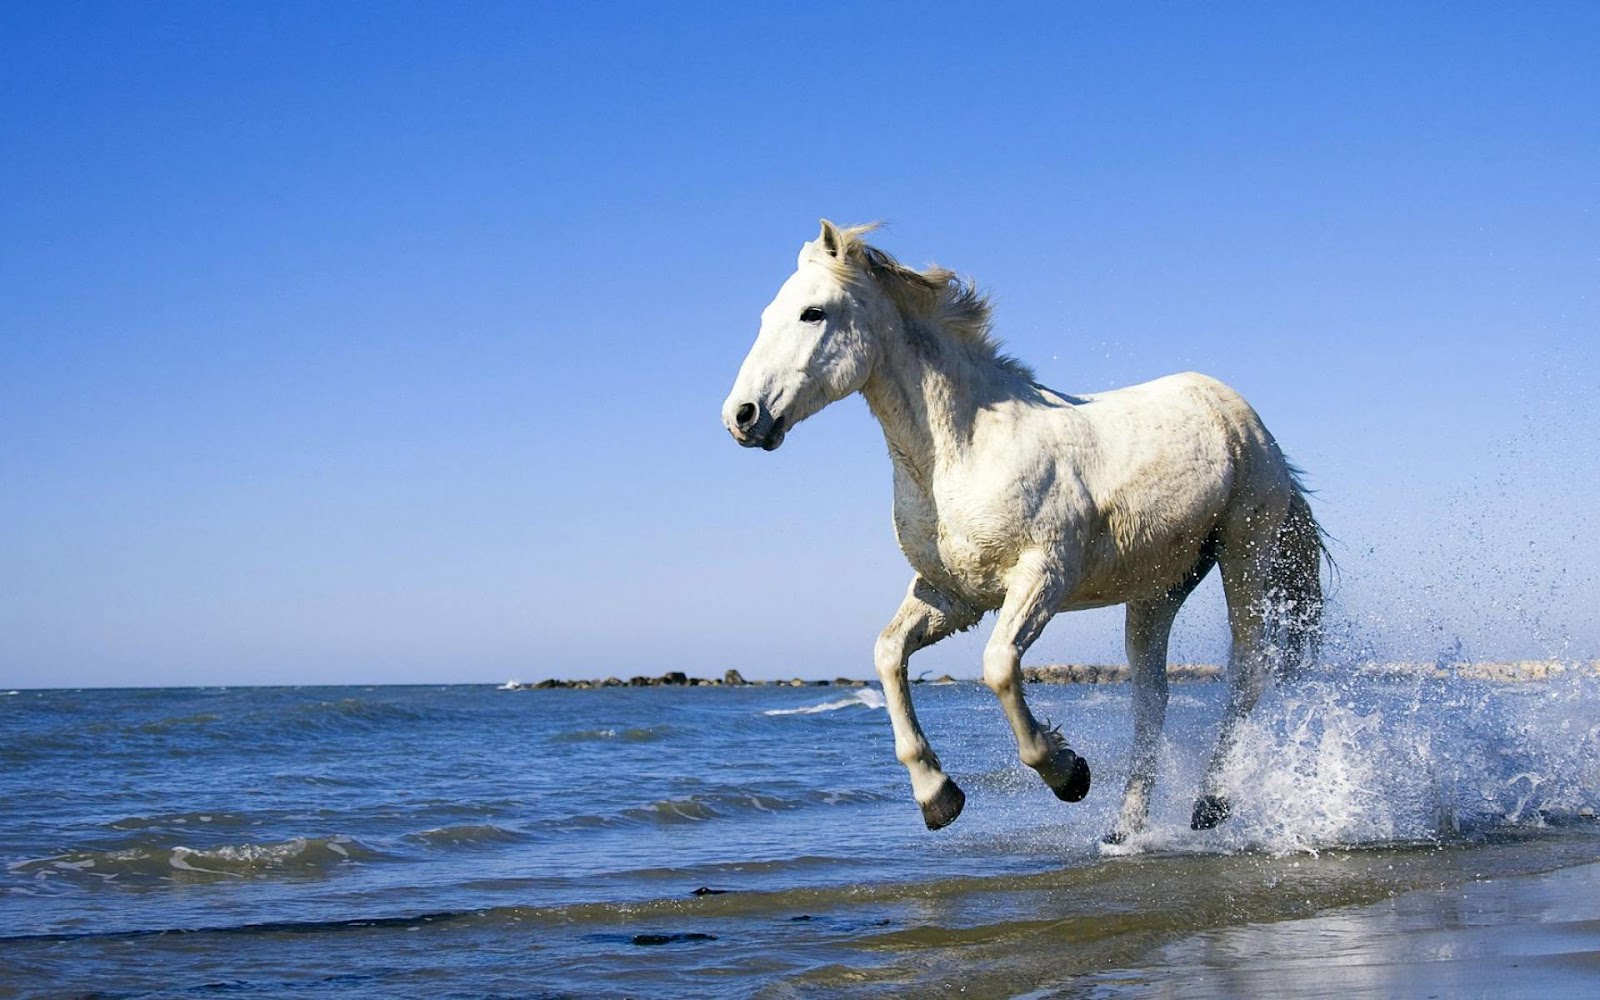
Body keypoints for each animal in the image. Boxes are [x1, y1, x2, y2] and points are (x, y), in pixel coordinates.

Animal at [726, 222, 1324, 838]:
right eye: (768, 315)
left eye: (813, 313)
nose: (741, 416)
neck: (963, 450)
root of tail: (1243, 415)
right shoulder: (952, 595)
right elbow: (888, 654)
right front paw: (937, 796)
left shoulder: (1042, 576)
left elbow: (998, 667)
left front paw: (1068, 773)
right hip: (1157, 590)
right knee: (1151, 700)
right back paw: (1124, 829)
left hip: (1245, 552)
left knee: (1248, 670)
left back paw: (1210, 802)